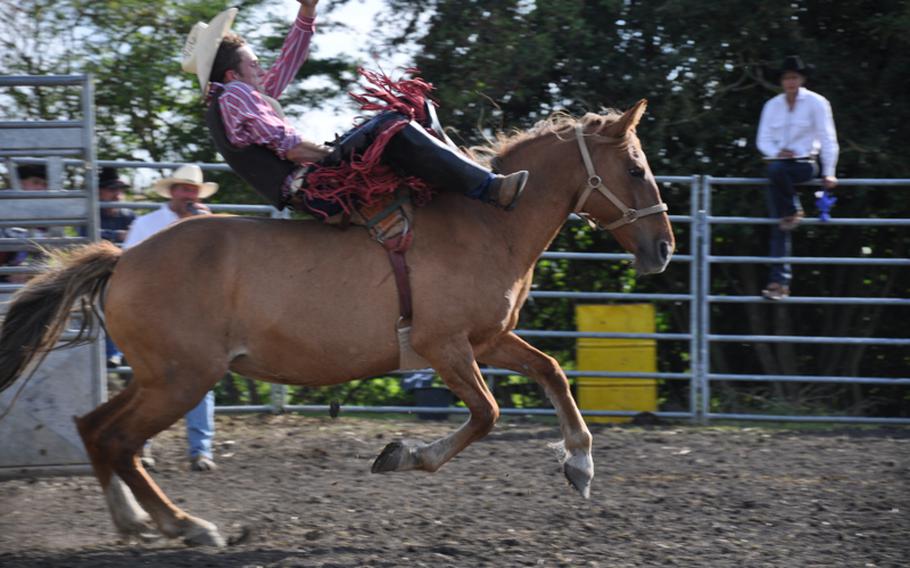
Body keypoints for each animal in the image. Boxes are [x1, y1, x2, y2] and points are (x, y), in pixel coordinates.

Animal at [0, 101, 676, 544]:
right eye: (636, 169)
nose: (665, 247)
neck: (488, 221)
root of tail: (126, 257)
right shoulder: (444, 345)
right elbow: (487, 414)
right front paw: (402, 456)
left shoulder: (488, 338)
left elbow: (552, 371)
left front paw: (580, 465)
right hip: (180, 380)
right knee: (119, 439)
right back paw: (185, 525)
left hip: (158, 377)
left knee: (94, 428)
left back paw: (134, 520)